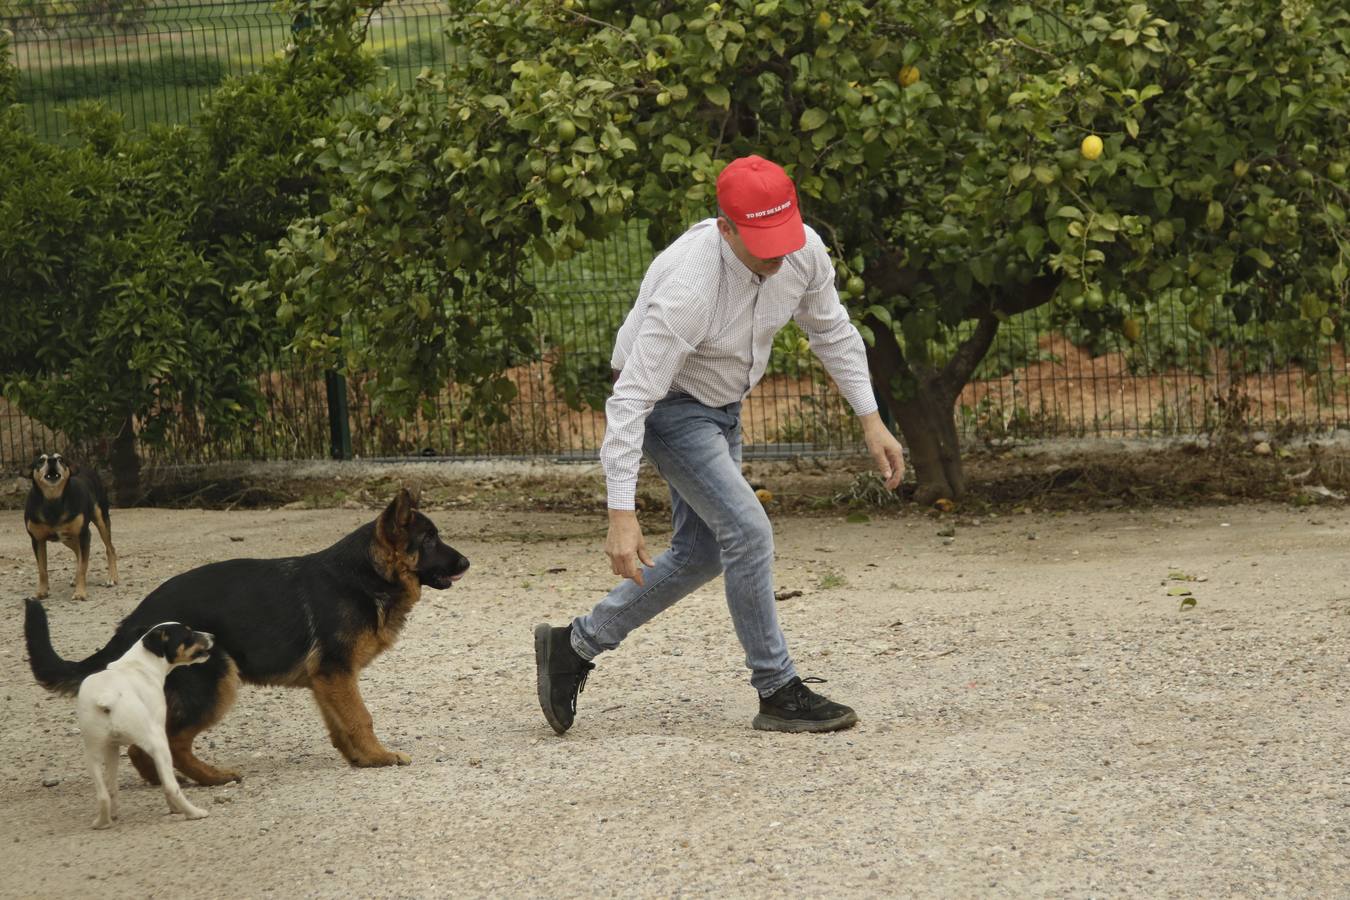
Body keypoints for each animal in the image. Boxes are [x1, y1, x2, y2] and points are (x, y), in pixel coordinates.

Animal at [23, 488, 469, 782]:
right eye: (430, 539)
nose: (467, 562)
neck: (366, 575)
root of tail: (137, 619)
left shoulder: (326, 680)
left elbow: (340, 725)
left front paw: (360, 759)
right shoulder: (336, 673)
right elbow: (361, 718)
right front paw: (379, 756)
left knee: (146, 745)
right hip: (217, 683)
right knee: (172, 741)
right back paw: (212, 777)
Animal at [25, 453, 118, 601]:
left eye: (60, 459)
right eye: (41, 460)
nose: (52, 460)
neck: (53, 502)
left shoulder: (84, 535)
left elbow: (83, 567)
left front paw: (80, 593)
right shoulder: (37, 540)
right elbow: (42, 570)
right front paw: (42, 592)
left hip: (101, 520)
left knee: (110, 549)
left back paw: (112, 578)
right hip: (68, 539)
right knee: (78, 553)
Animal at [77, 623, 216, 825]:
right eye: (188, 634)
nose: (213, 636)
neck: (140, 665)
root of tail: (108, 697)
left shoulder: (112, 748)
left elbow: (112, 786)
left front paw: (114, 814)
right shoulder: (160, 734)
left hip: (93, 752)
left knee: (103, 795)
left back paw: (103, 823)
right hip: (158, 745)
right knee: (171, 786)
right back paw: (193, 812)